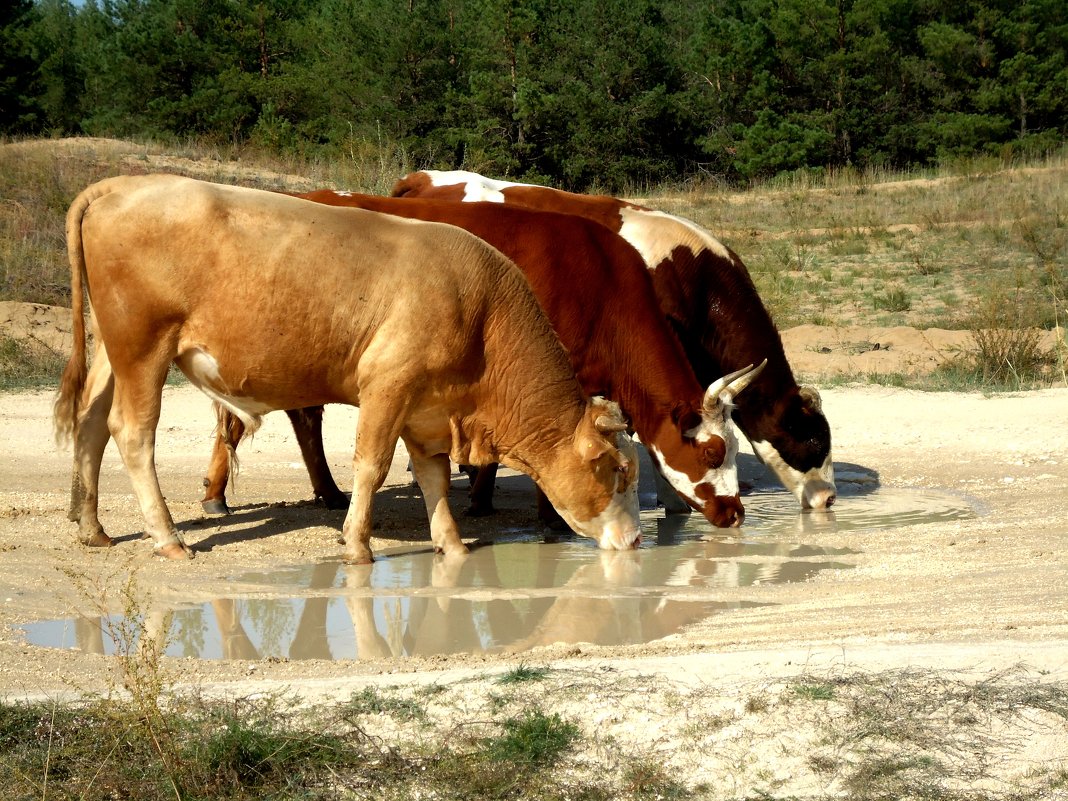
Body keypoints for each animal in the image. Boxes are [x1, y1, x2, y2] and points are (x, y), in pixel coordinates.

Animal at [54, 175, 636, 563]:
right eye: (618, 470)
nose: (634, 539)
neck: (481, 313)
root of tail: (124, 183)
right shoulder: (388, 385)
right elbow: (372, 466)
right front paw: (357, 544)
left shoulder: (426, 406)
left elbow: (434, 476)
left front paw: (451, 546)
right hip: (143, 347)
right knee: (132, 432)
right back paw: (169, 538)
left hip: (111, 349)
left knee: (90, 423)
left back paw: (92, 526)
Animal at [201, 193, 768, 529]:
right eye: (714, 451)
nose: (735, 511)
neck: (601, 286)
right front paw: (550, 522)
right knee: (251, 420)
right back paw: (220, 494)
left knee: (299, 416)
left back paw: (324, 491)